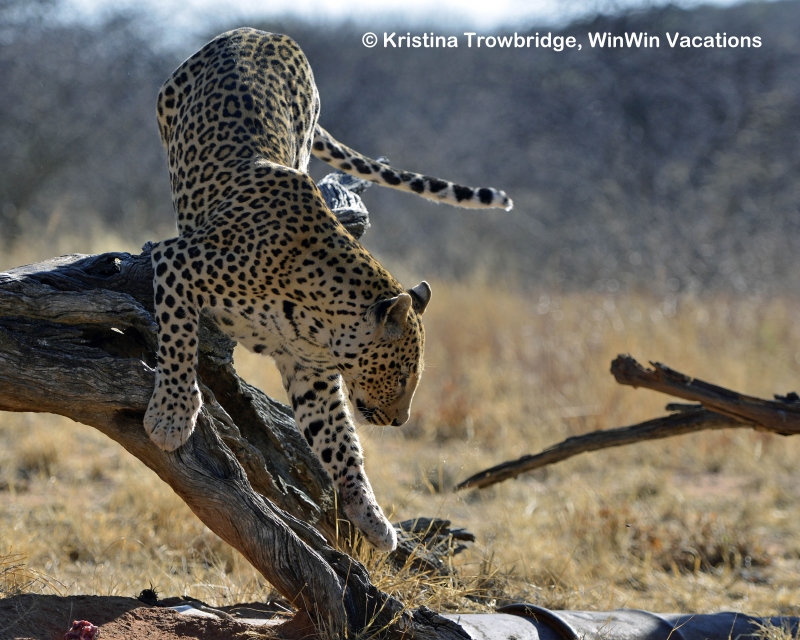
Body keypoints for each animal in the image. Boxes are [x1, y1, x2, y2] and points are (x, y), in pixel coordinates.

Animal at [143, 27, 512, 552]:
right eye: (402, 375)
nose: (401, 420)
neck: (320, 317)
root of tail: (263, 31)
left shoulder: (311, 371)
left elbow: (340, 442)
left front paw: (371, 517)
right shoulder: (179, 262)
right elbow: (178, 342)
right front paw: (172, 418)